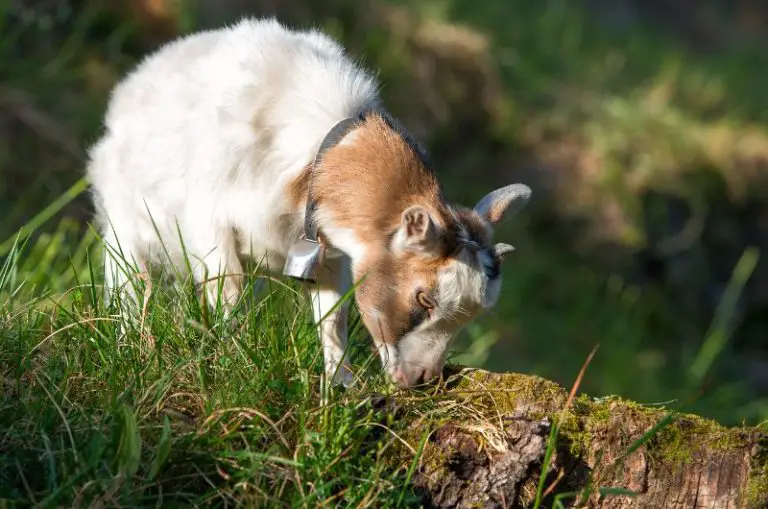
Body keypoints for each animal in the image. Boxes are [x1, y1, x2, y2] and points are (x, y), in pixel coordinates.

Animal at [86, 17, 532, 388]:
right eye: (424, 298)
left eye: (474, 315)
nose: (421, 379)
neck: (313, 164)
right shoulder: (210, 225)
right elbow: (228, 293)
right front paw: (233, 363)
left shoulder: (332, 251)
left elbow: (332, 319)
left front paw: (341, 386)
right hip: (124, 227)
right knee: (131, 286)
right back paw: (132, 344)